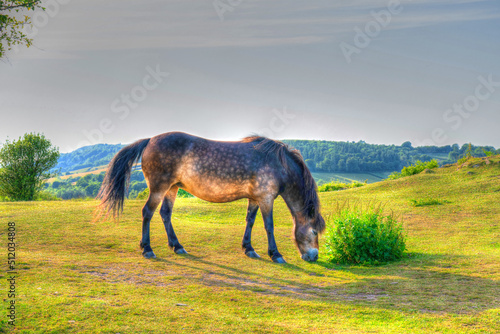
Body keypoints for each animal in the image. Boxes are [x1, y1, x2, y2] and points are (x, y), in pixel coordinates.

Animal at [98, 132, 326, 262]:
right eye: (314, 232)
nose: (313, 257)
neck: (279, 164)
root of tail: (149, 140)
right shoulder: (266, 198)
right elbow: (268, 226)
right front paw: (275, 254)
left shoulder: (254, 198)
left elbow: (250, 221)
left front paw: (249, 248)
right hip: (158, 188)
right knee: (148, 212)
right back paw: (147, 249)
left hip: (171, 188)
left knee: (165, 213)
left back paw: (177, 246)